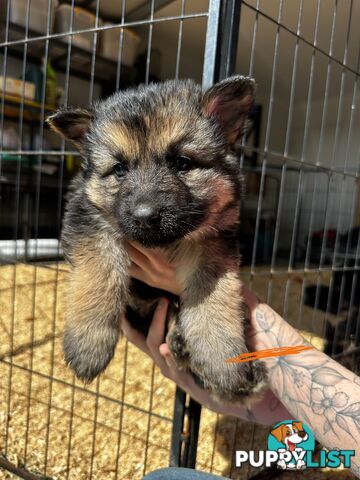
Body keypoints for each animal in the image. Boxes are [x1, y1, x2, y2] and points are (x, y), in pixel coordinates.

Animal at [47, 76, 268, 404]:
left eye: (182, 163)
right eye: (119, 169)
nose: (144, 216)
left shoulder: (214, 240)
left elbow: (213, 294)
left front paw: (220, 355)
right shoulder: (88, 217)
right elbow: (97, 274)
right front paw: (88, 344)